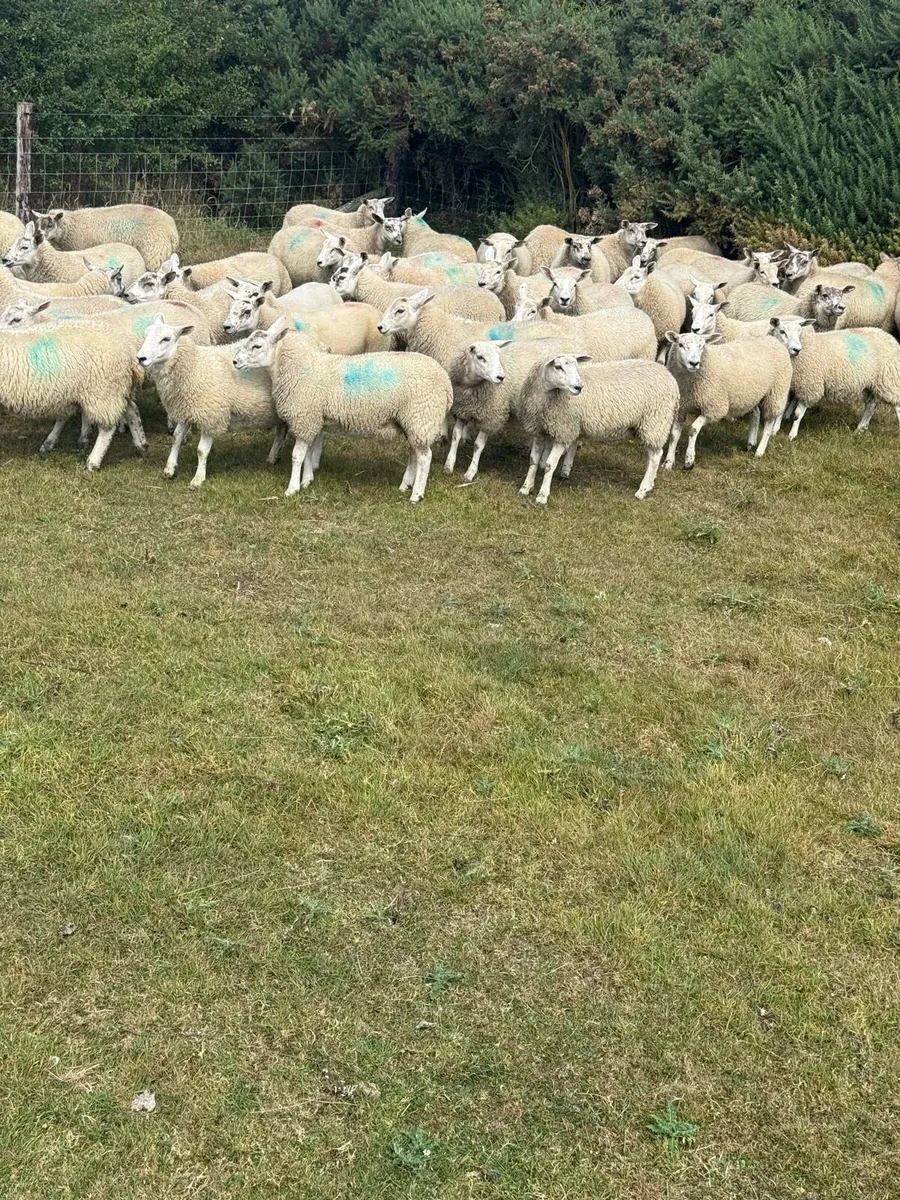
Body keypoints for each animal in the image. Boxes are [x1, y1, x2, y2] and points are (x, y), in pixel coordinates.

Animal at [0, 320, 146, 468]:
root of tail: (128, 349)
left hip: (102, 391)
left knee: (108, 428)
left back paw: (93, 462)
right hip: (116, 390)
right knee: (132, 410)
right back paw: (142, 445)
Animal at [232, 319, 453, 502]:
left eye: (257, 346)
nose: (235, 361)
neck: (301, 367)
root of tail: (445, 382)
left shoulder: (304, 418)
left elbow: (297, 456)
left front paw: (292, 488)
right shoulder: (314, 420)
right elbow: (309, 453)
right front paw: (307, 480)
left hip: (421, 415)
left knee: (425, 458)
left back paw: (416, 494)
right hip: (412, 422)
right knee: (414, 454)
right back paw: (406, 484)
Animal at [516, 353, 680, 503]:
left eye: (576, 366)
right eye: (558, 366)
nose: (579, 387)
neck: (545, 399)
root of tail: (670, 376)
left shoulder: (564, 431)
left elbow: (550, 465)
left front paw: (542, 495)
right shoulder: (539, 430)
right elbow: (533, 460)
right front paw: (526, 488)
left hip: (655, 422)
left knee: (656, 456)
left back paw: (643, 489)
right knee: (652, 456)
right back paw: (650, 483)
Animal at [663, 331, 792, 467]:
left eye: (702, 346)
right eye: (680, 345)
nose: (694, 363)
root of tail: (774, 340)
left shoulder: (714, 409)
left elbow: (693, 429)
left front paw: (689, 460)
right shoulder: (681, 409)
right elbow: (673, 435)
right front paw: (668, 462)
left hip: (776, 393)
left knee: (769, 423)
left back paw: (759, 451)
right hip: (751, 395)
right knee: (756, 413)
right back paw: (751, 443)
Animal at [766, 320, 900, 439]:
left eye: (800, 332)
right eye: (782, 331)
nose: (797, 349)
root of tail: (889, 337)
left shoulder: (810, 387)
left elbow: (798, 414)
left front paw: (792, 435)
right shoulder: (790, 385)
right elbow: (783, 409)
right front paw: (775, 430)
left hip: (889, 380)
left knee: (897, 405)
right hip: (872, 384)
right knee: (870, 406)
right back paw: (860, 429)